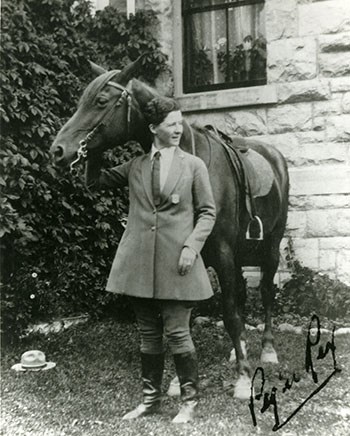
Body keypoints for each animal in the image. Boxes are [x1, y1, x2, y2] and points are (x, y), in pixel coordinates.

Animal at [50, 56, 288, 400]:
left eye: (101, 101)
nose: (58, 150)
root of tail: (273, 156)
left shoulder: (223, 253)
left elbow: (229, 313)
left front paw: (244, 378)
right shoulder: (195, 257)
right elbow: (184, 318)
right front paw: (179, 379)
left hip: (270, 246)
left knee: (267, 292)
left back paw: (268, 349)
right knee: (245, 294)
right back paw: (237, 350)